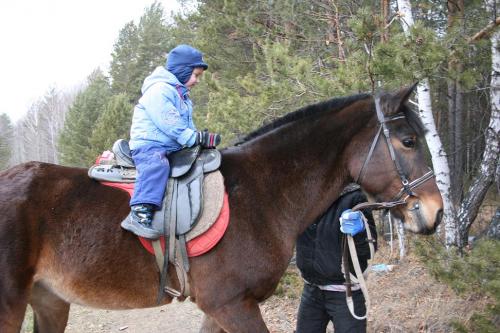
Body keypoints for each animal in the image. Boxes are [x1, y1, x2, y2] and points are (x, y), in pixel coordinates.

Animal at [0, 85, 442, 330]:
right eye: (407, 141)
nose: (435, 211)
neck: (262, 190)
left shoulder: (220, 308)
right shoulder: (233, 305)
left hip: (50, 301)